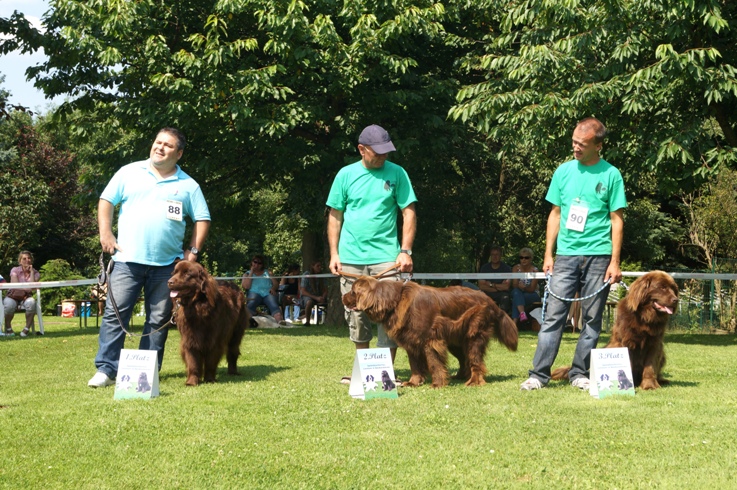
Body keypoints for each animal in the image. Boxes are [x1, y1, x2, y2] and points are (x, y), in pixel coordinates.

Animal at [340, 278, 516, 388]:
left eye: (353, 292)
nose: (343, 297)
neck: (395, 301)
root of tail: (491, 301)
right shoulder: (411, 341)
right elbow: (415, 364)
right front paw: (413, 382)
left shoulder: (430, 341)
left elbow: (433, 363)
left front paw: (438, 384)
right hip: (456, 341)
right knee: (464, 359)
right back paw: (459, 376)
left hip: (473, 335)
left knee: (475, 360)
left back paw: (473, 381)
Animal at [552, 272, 680, 390]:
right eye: (662, 287)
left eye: (673, 289)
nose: (676, 300)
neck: (644, 318)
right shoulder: (626, 343)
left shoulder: (654, 344)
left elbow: (650, 366)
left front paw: (650, 385)